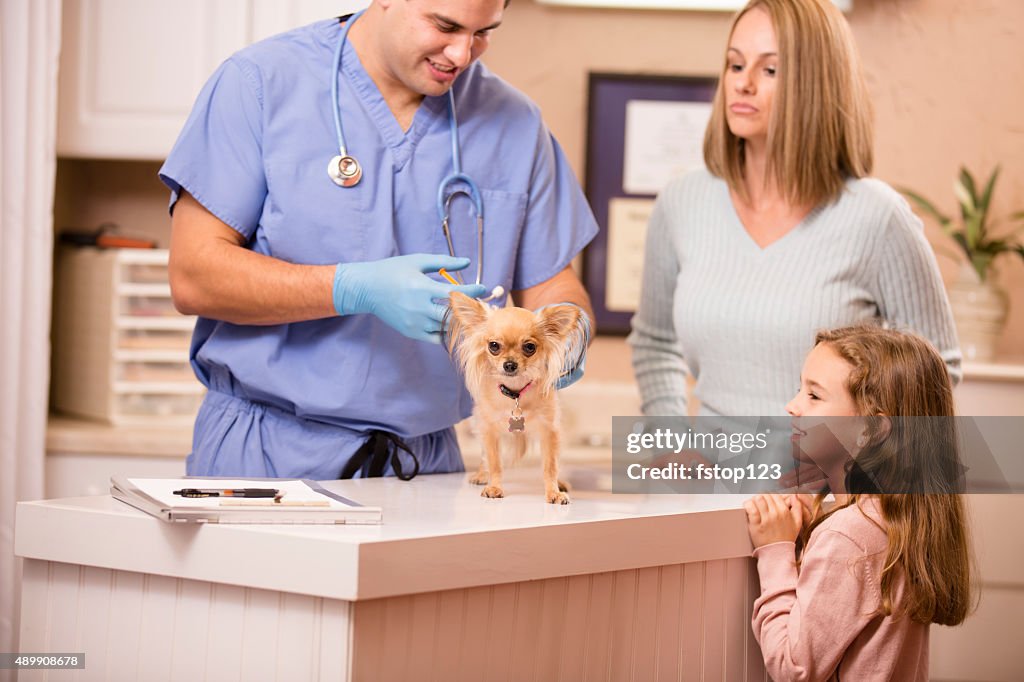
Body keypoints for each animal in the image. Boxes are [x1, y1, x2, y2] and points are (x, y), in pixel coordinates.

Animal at [444, 288, 581, 501]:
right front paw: (494, 487)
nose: (509, 364)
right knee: (484, 457)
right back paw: (482, 474)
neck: (515, 394)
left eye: (529, 347)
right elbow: (494, 462)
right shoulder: (489, 431)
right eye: (493, 346)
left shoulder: (549, 432)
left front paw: (553, 492)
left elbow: (551, 466)